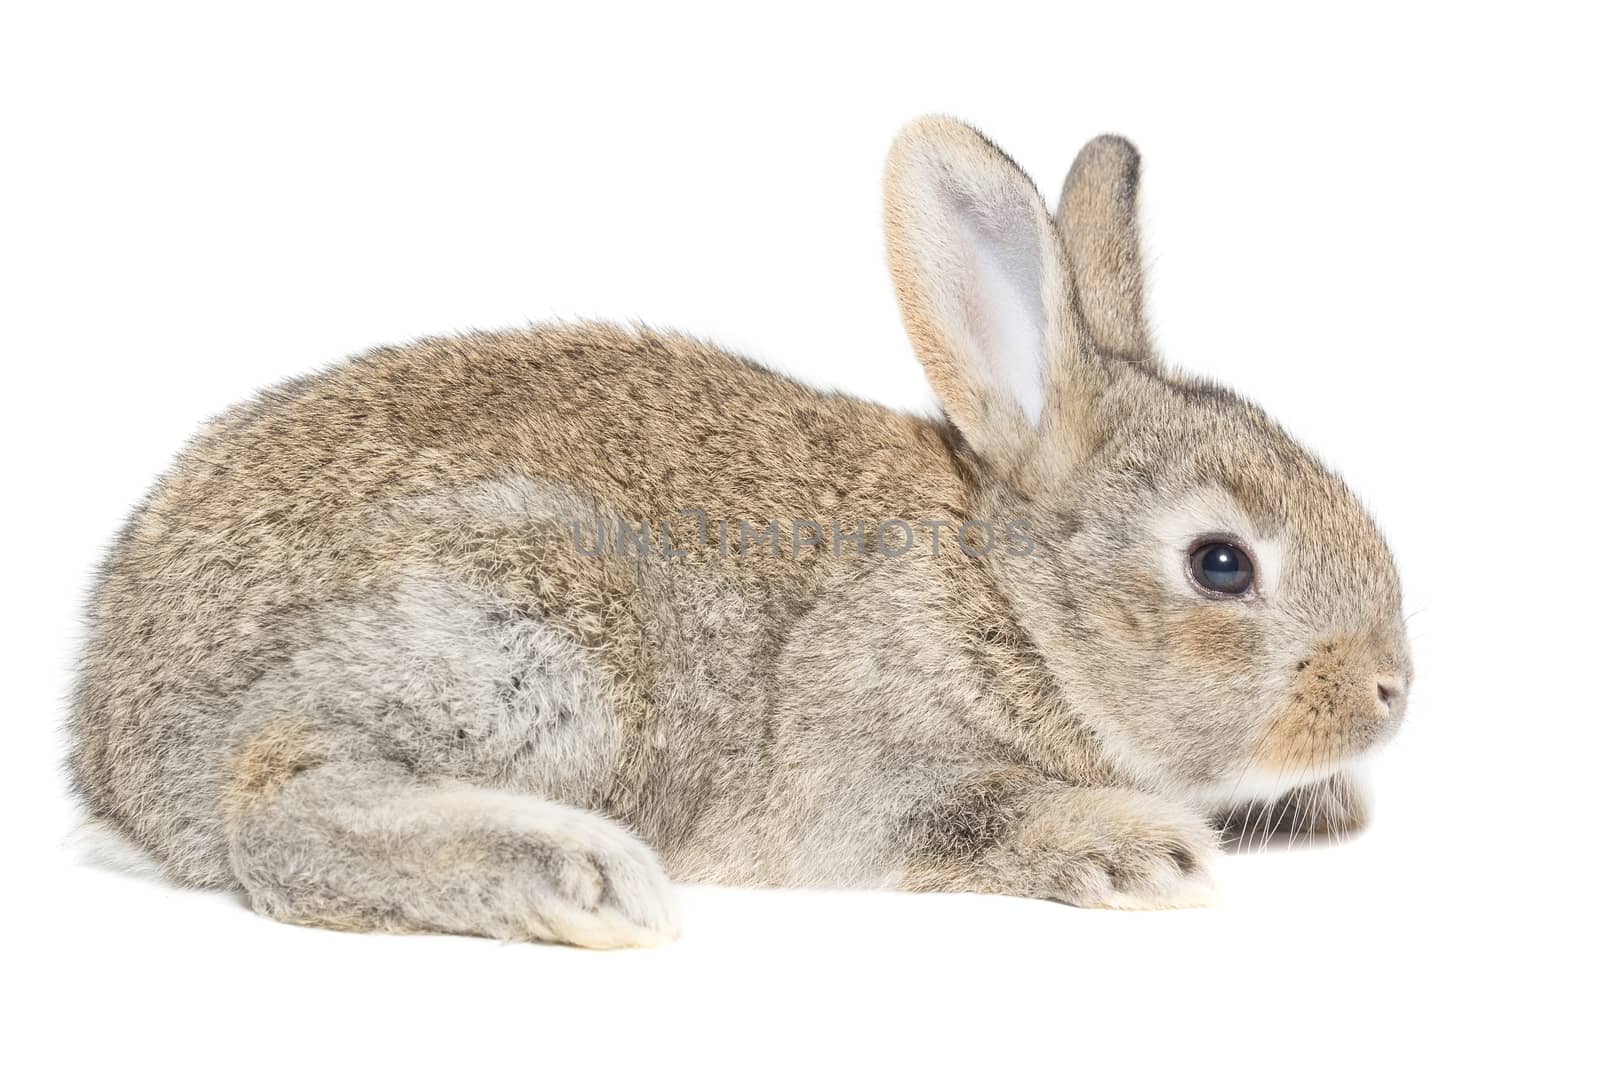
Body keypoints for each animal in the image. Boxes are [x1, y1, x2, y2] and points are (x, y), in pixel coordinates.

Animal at [68, 119, 1414, 953]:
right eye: (1220, 563)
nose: (1393, 690)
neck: (1012, 602)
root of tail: (117, 744)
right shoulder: (868, 763)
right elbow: (966, 810)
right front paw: (1142, 850)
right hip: (536, 641)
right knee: (277, 804)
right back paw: (585, 880)